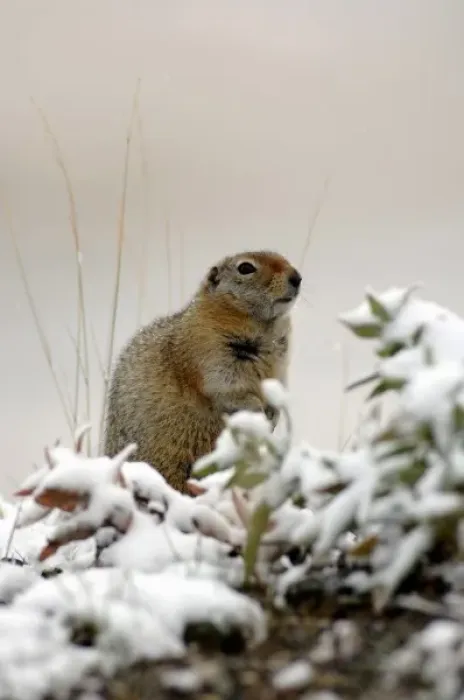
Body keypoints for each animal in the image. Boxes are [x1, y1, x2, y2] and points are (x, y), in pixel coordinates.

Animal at [104, 250, 302, 493]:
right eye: (245, 268)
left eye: (284, 258)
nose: (296, 277)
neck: (263, 328)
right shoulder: (208, 353)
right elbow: (224, 388)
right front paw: (257, 408)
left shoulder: (279, 366)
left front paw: (274, 414)